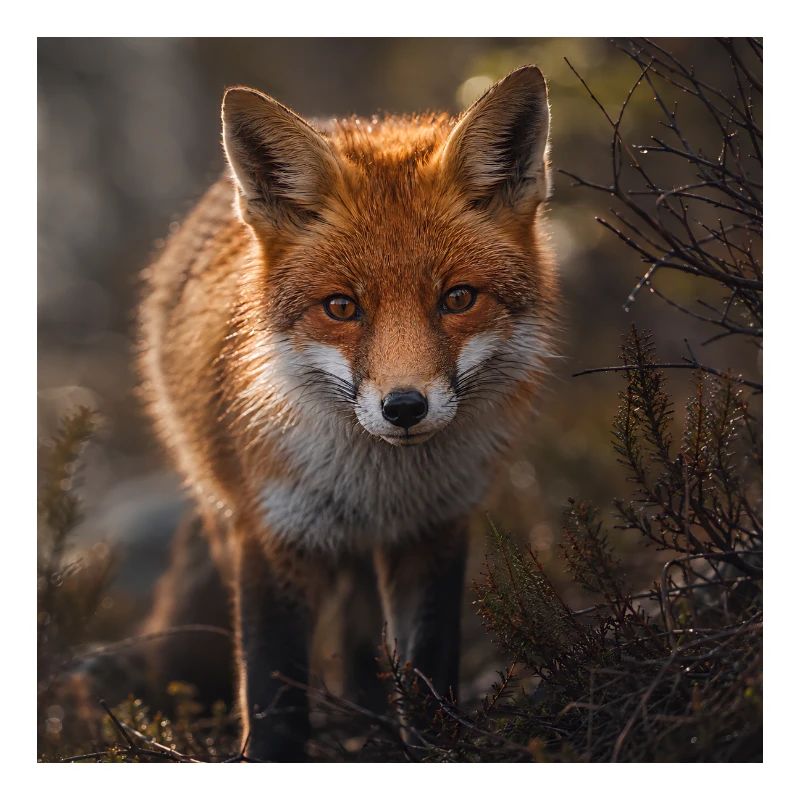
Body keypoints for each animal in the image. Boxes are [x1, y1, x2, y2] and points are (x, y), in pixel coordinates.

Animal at [137, 64, 558, 761]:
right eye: (341, 308)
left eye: (458, 298)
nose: (404, 407)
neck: (378, 486)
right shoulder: (272, 534)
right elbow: (274, 699)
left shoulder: (434, 530)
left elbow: (429, 670)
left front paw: (434, 747)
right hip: (226, 517)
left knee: (362, 642)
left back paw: (371, 724)